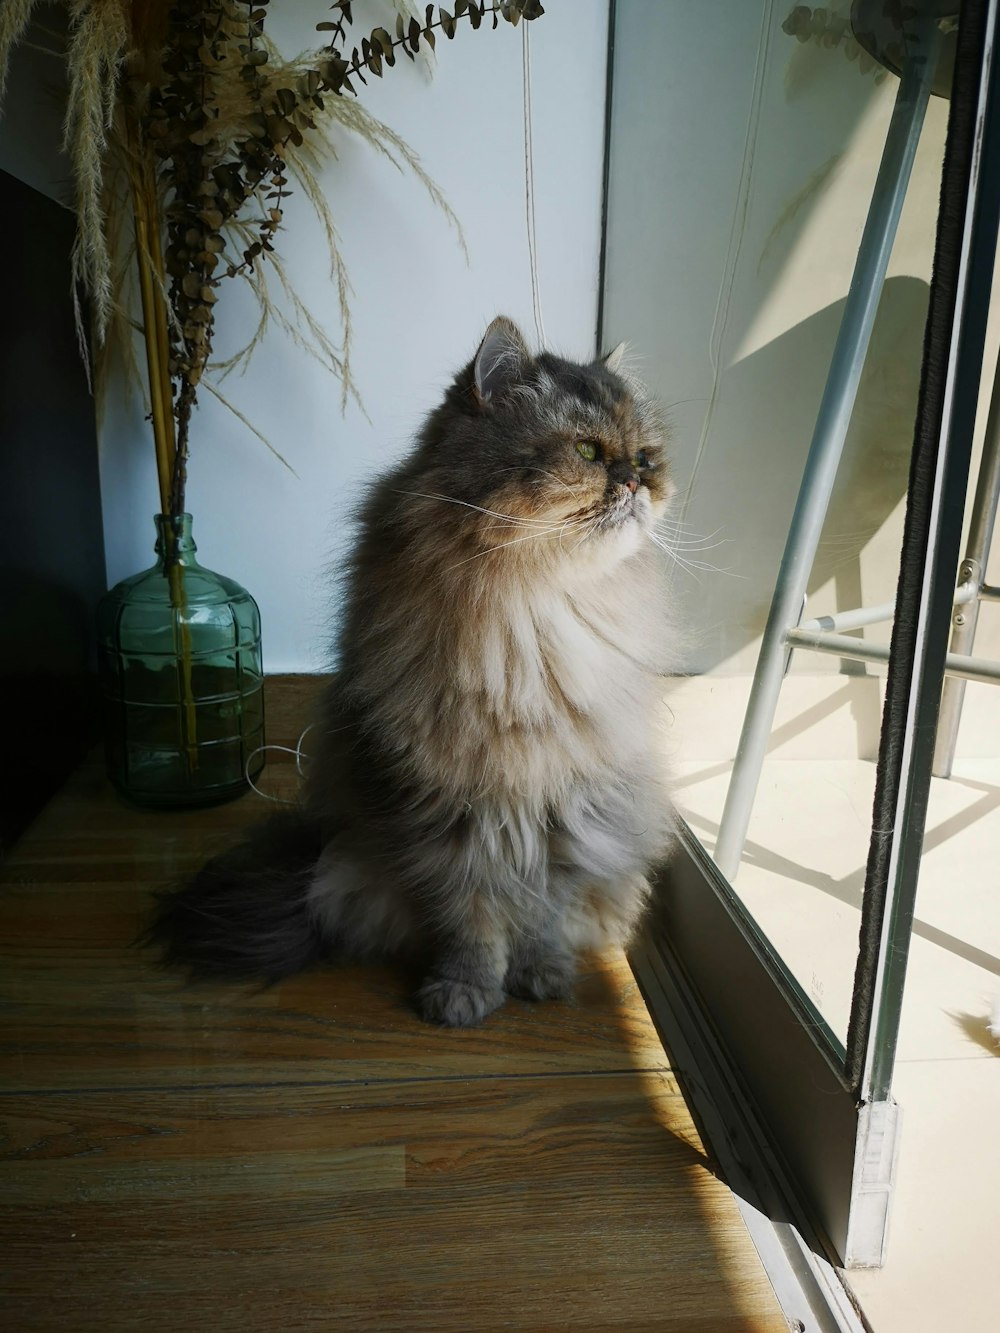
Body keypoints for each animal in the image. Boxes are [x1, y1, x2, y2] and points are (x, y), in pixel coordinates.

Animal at [150, 317, 682, 1023]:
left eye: (647, 458)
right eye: (589, 452)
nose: (637, 483)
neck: (535, 617)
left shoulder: (564, 819)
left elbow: (540, 914)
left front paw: (540, 976)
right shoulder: (442, 819)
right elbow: (470, 922)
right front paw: (464, 993)